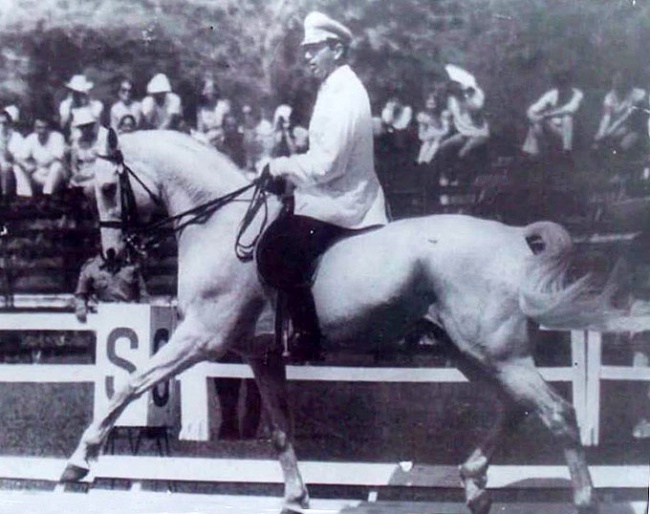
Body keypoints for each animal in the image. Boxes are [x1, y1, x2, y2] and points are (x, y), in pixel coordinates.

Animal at [60, 131, 632, 512]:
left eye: (108, 187)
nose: (111, 256)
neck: (221, 224)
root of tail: (513, 236)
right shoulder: (261, 356)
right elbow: (281, 431)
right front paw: (295, 497)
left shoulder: (201, 338)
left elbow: (131, 383)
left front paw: (78, 464)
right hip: (469, 352)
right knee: (516, 408)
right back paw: (473, 483)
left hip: (498, 353)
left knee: (557, 412)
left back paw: (582, 499)